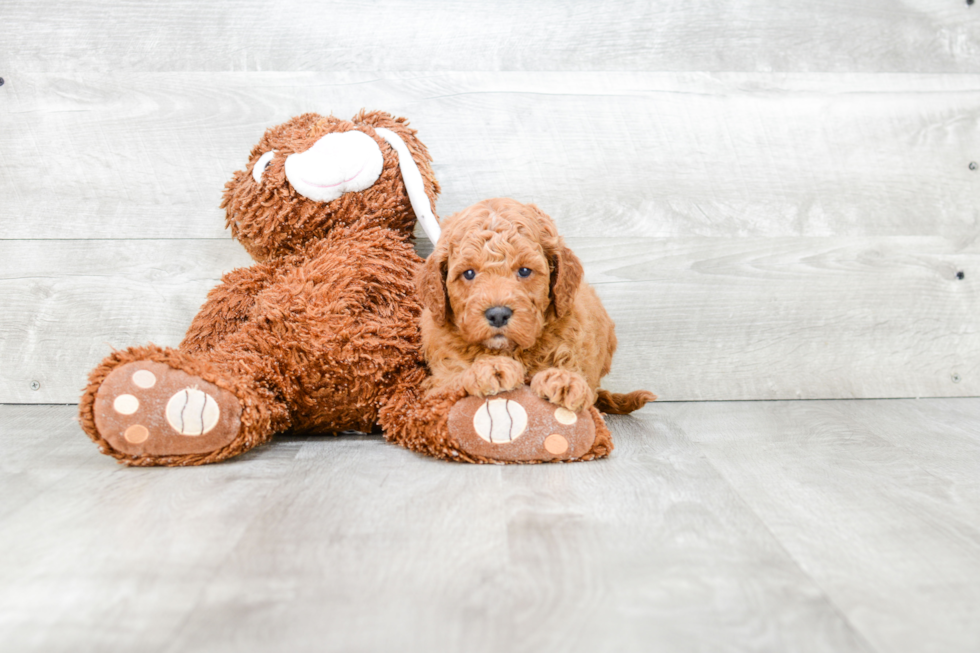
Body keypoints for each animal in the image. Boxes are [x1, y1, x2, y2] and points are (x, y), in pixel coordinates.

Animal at [414, 197, 652, 412]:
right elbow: (452, 379)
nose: (498, 315)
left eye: (524, 271)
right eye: (469, 273)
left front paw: (564, 380)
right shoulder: (434, 385)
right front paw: (489, 368)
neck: (511, 350)